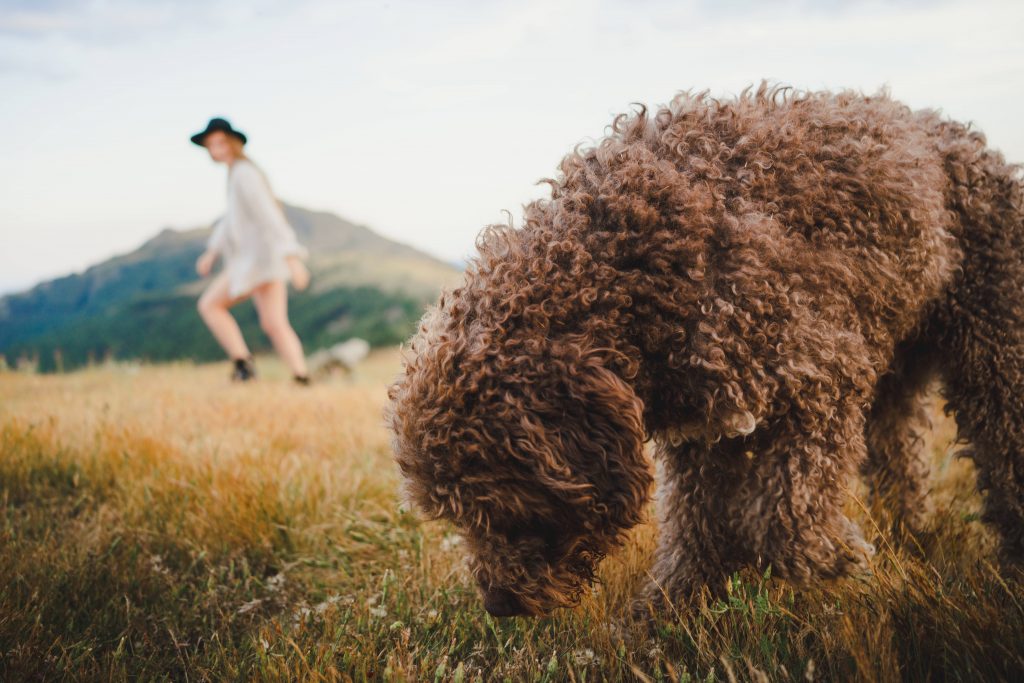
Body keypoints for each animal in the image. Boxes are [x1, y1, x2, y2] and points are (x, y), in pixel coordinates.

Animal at [385, 82, 1024, 618]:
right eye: (456, 516)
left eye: (507, 510)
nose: (500, 607)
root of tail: (967, 139)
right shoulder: (701, 427)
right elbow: (696, 526)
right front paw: (670, 611)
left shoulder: (819, 375)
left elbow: (781, 519)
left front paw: (835, 562)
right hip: (896, 365)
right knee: (901, 458)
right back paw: (910, 536)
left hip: (992, 344)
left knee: (1002, 444)